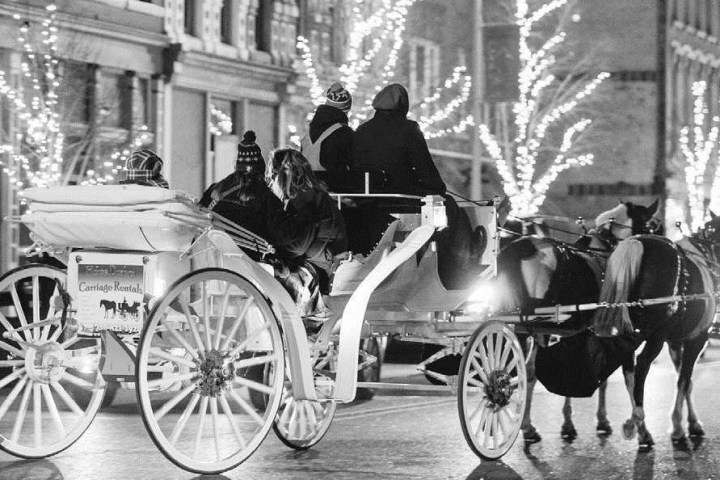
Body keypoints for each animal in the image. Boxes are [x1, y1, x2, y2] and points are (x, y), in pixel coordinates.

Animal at [498, 199, 660, 442]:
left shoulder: (580, 331)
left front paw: (579, 422)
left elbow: (578, 370)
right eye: (649, 227)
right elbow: (628, 377)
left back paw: (527, 426)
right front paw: (641, 430)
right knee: (527, 369)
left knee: (527, 371)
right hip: (538, 326)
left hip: (523, 326)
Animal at [592, 213, 716, 450]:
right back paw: (635, 420)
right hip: (655, 335)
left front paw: (692, 423)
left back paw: (643, 430)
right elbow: (684, 380)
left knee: (629, 372)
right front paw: (678, 428)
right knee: (641, 366)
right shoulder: (698, 338)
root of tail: (635, 242)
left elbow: (686, 381)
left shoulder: (675, 341)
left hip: (628, 334)